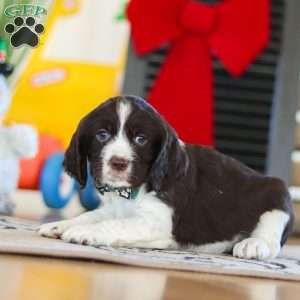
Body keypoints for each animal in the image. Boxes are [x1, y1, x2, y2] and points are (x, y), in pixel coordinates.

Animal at [37, 95, 292, 258]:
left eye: (141, 139)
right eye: (102, 135)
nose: (118, 162)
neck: (134, 190)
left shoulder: (156, 223)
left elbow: (115, 224)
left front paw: (84, 233)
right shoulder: (114, 208)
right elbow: (93, 215)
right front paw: (60, 225)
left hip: (277, 193)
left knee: (272, 237)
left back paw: (253, 244)